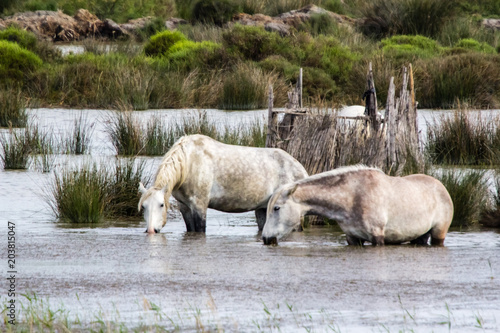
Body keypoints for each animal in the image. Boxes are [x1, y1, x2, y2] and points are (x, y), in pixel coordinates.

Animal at [138, 134, 308, 232]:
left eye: (161, 205)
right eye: (143, 207)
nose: (151, 230)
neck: (189, 161)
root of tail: (300, 169)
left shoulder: (199, 205)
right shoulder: (184, 206)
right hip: (263, 208)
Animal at [262, 165, 454, 245]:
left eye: (277, 208)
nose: (265, 238)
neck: (352, 196)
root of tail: (442, 187)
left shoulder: (378, 237)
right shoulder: (352, 238)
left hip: (439, 233)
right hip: (419, 236)